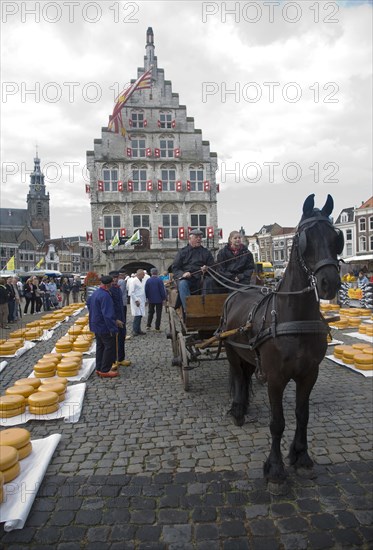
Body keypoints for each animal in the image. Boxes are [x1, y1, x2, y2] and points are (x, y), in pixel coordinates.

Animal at [219, 196, 342, 490]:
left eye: (337, 237)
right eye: (306, 239)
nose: (329, 283)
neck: (293, 316)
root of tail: (237, 292)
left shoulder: (309, 374)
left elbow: (302, 415)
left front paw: (301, 457)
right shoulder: (276, 377)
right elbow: (277, 422)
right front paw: (275, 469)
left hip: (250, 356)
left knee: (246, 376)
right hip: (232, 352)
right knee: (238, 377)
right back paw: (238, 410)